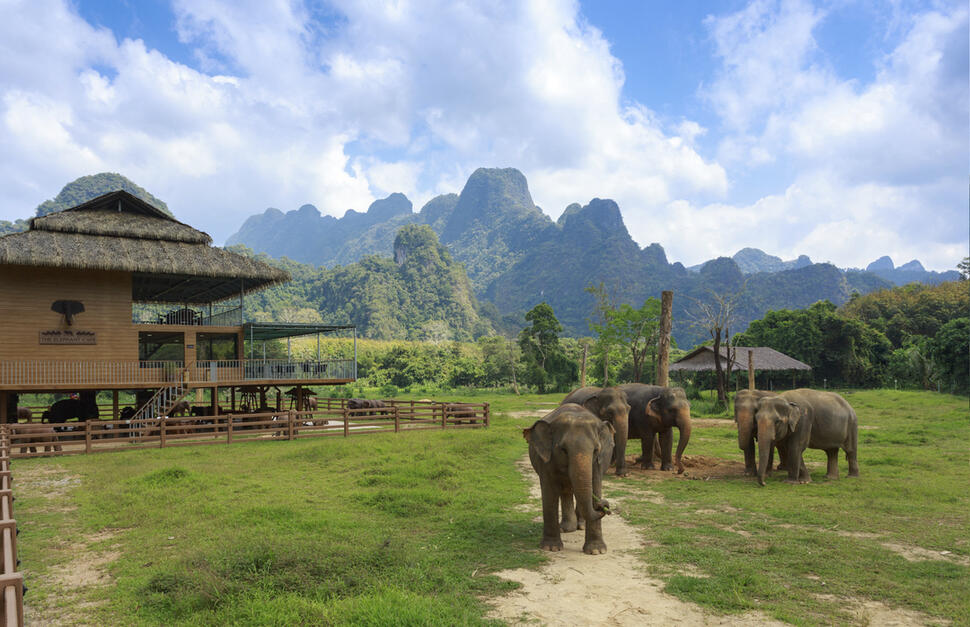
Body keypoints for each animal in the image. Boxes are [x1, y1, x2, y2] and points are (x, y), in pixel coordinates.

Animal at [524, 404, 614, 555]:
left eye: (596, 450)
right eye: (563, 450)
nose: (604, 506)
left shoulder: (598, 462)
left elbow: (595, 485)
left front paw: (596, 551)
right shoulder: (546, 461)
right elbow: (549, 492)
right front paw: (551, 548)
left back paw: (580, 526)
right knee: (566, 491)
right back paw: (567, 529)